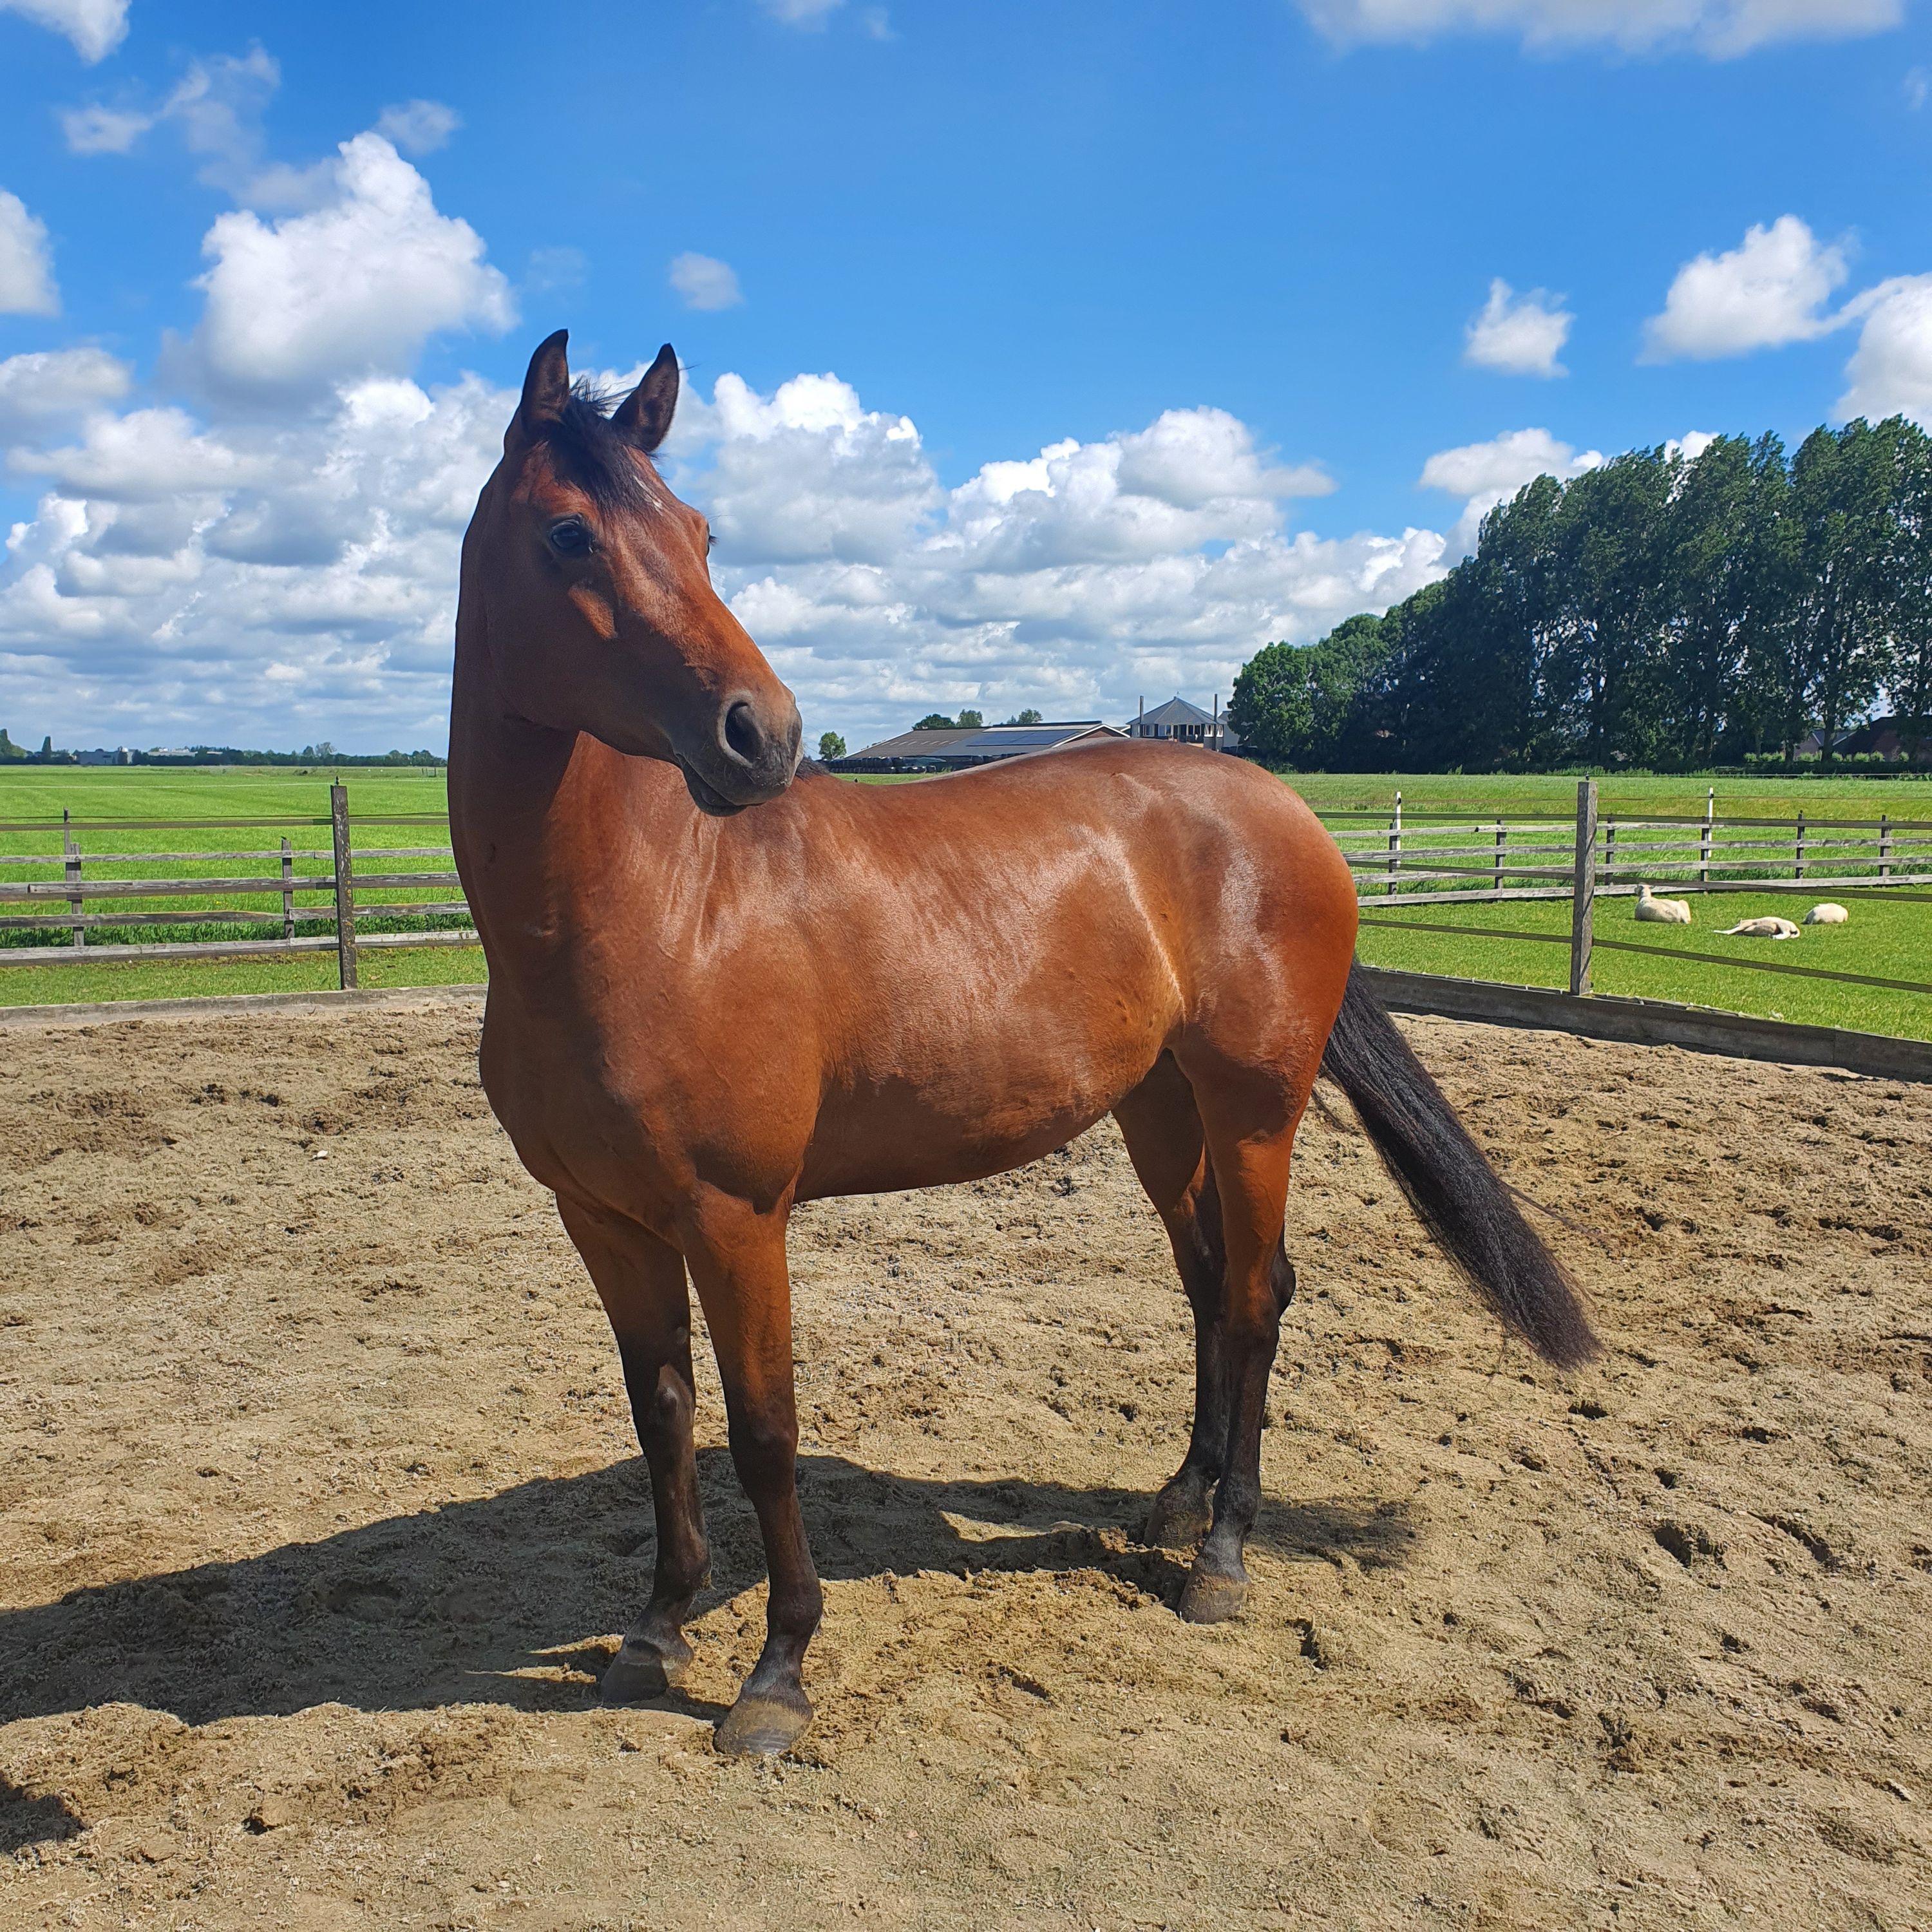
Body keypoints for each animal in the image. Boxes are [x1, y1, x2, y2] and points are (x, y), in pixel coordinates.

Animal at [449, 331, 1598, 1756]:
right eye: (569, 534)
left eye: (702, 534)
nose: (760, 733)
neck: (652, 910)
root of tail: (1279, 807)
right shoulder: (603, 1219)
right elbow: (663, 1414)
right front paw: (656, 1632)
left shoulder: (737, 1216)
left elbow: (765, 1429)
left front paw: (779, 1672)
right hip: (1161, 1108)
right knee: (1208, 1284)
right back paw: (1175, 1502)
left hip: (1254, 1106)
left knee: (1259, 1294)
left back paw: (1222, 1558)